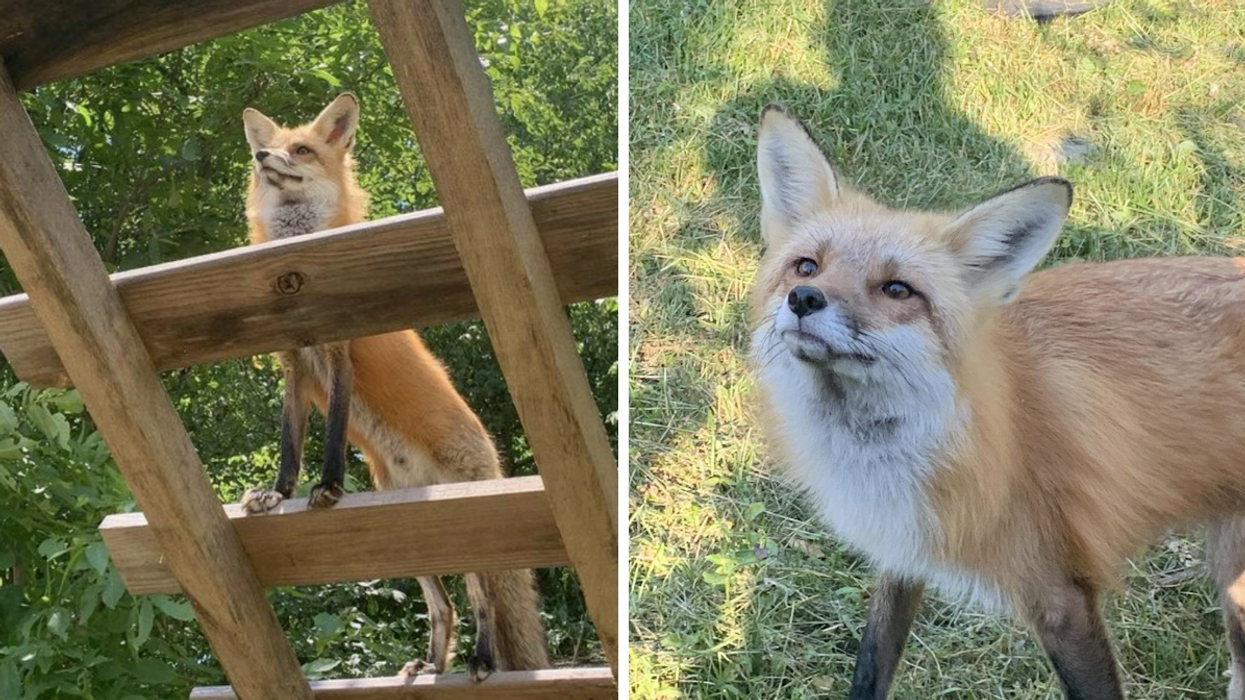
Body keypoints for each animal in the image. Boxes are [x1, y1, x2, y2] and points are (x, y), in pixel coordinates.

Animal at [237, 94, 548, 680]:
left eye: (302, 150)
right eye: (267, 150)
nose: (263, 156)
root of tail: (492, 457)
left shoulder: (340, 358)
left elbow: (332, 438)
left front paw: (329, 488)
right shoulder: (295, 368)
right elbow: (290, 446)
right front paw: (279, 494)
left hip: (465, 530)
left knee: (484, 600)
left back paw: (481, 659)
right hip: (411, 533)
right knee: (445, 607)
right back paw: (432, 666)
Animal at [750, 103, 1245, 700]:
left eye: (897, 290)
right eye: (806, 266)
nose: (804, 299)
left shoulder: (1061, 597)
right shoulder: (902, 556)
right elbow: (870, 668)